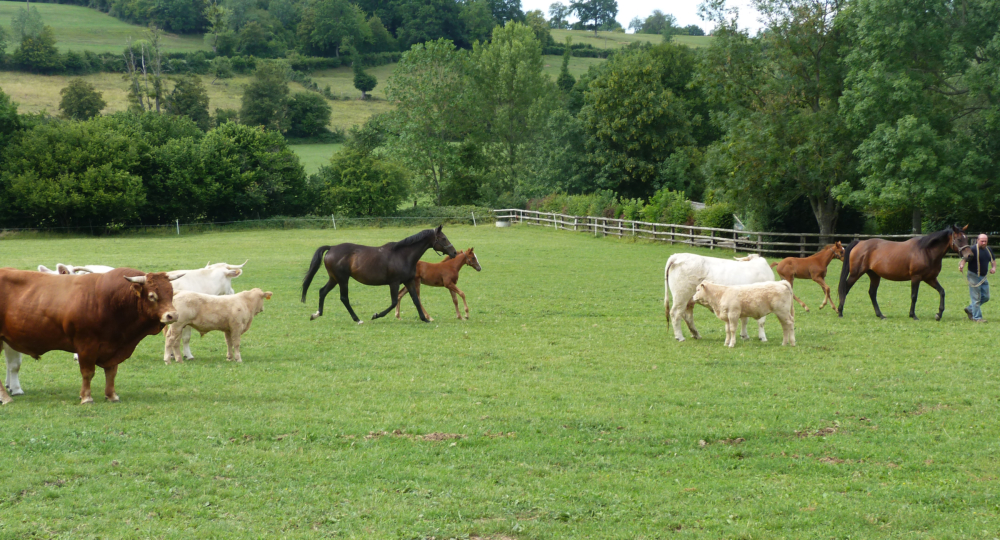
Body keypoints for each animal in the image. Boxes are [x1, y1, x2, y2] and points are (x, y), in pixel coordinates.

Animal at [0, 268, 181, 402]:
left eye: (170, 292)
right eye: (152, 296)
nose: (172, 315)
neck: (110, 301)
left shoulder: (113, 347)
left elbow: (111, 372)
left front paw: (111, 395)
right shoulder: (86, 345)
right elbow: (88, 372)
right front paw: (86, 397)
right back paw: (6, 398)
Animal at [300, 226, 458, 322]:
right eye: (443, 238)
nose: (454, 253)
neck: (403, 255)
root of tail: (331, 248)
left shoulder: (409, 281)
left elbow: (415, 299)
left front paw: (424, 319)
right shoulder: (394, 282)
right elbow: (394, 302)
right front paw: (376, 315)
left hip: (334, 279)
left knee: (322, 291)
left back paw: (316, 314)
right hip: (343, 279)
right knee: (344, 298)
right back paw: (357, 319)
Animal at [832, 225, 972, 320]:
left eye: (966, 239)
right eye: (959, 239)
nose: (970, 256)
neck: (926, 251)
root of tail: (860, 242)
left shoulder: (930, 278)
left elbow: (942, 292)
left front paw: (939, 314)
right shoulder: (916, 277)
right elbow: (914, 296)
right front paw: (913, 315)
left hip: (874, 276)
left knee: (872, 293)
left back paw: (880, 315)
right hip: (855, 274)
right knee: (845, 288)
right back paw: (840, 312)